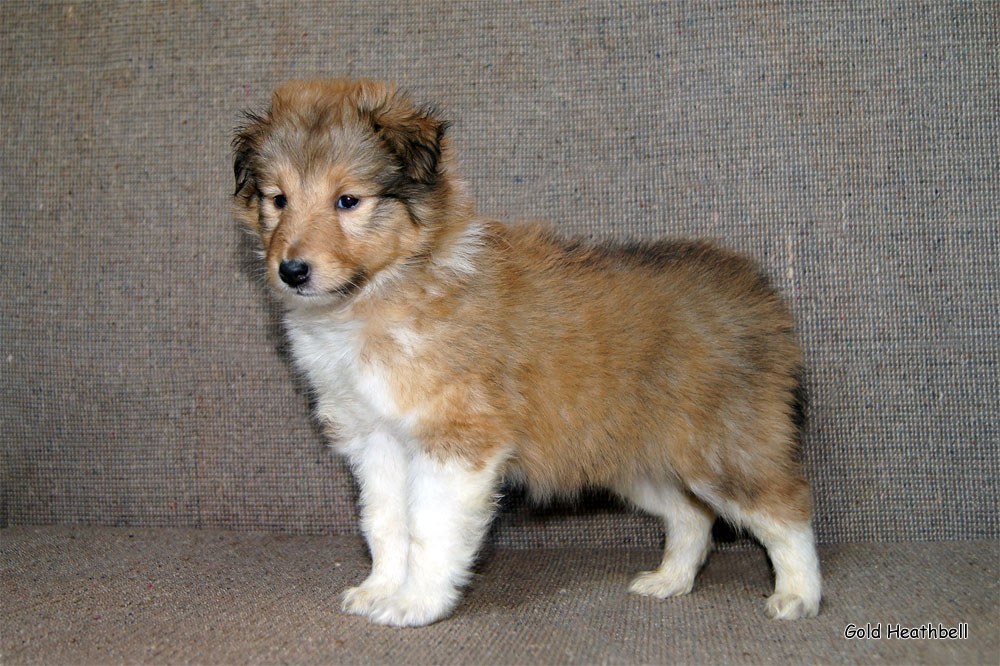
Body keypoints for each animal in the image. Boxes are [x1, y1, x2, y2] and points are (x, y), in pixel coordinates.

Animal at [232, 80, 820, 624]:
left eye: (348, 200)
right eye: (278, 199)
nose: (292, 270)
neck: (380, 292)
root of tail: (758, 292)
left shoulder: (456, 441)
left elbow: (428, 528)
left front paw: (416, 604)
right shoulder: (374, 438)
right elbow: (384, 523)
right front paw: (379, 590)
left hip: (722, 448)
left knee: (786, 508)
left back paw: (798, 595)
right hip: (637, 457)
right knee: (692, 516)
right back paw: (669, 580)